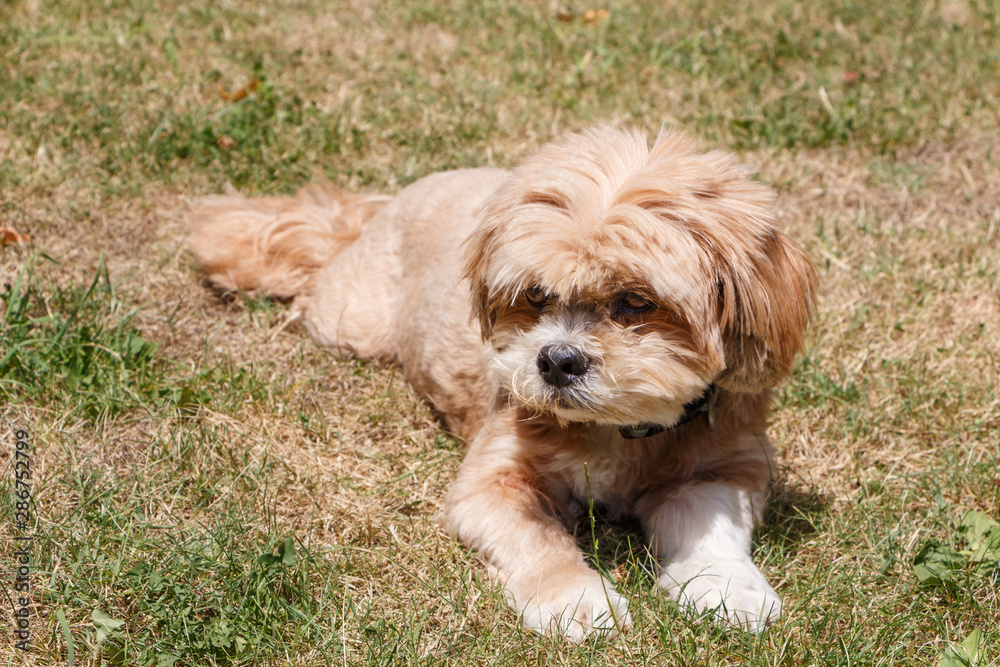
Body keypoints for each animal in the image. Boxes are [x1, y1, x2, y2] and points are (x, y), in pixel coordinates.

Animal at [189, 125, 820, 640]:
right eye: (536, 295)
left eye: (636, 302)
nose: (557, 360)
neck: (614, 433)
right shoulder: (492, 482)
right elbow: (540, 542)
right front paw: (576, 601)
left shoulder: (723, 467)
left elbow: (713, 533)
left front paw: (729, 590)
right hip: (347, 321)